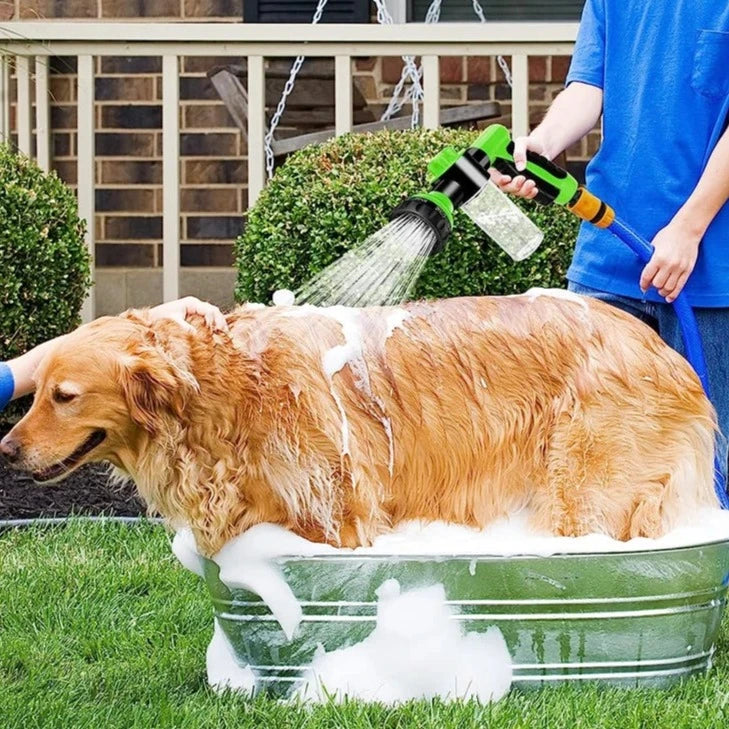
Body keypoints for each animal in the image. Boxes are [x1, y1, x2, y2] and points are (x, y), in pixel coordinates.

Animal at [0, 292, 716, 556]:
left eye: (64, 396)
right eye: (36, 395)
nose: (6, 449)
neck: (230, 390)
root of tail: (666, 351)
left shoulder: (342, 515)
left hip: (587, 493)